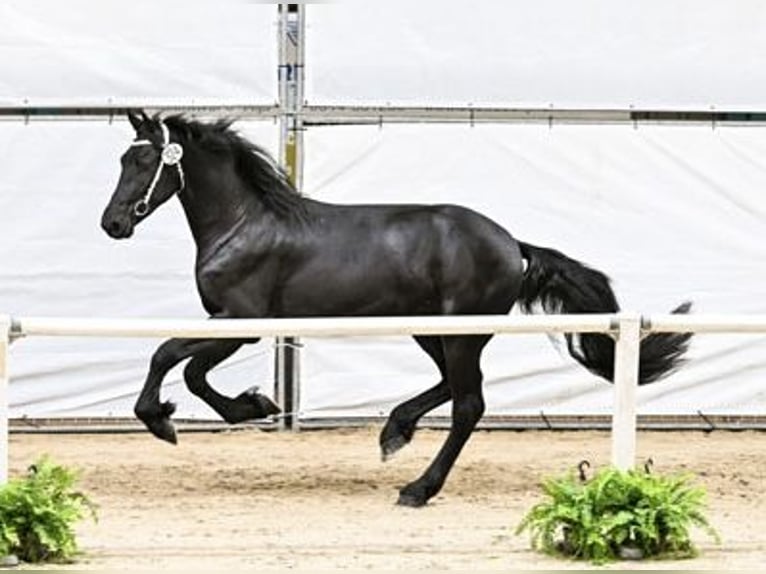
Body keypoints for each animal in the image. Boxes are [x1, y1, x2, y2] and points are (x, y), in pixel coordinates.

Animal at [100, 110, 692, 507]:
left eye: (147, 159)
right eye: (124, 158)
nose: (113, 224)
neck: (244, 224)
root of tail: (510, 243)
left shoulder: (240, 325)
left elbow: (171, 358)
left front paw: (169, 419)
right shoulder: (234, 325)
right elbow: (191, 371)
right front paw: (253, 405)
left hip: (460, 334)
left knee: (469, 404)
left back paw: (418, 488)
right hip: (429, 331)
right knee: (451, 388)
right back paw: (394, 432)